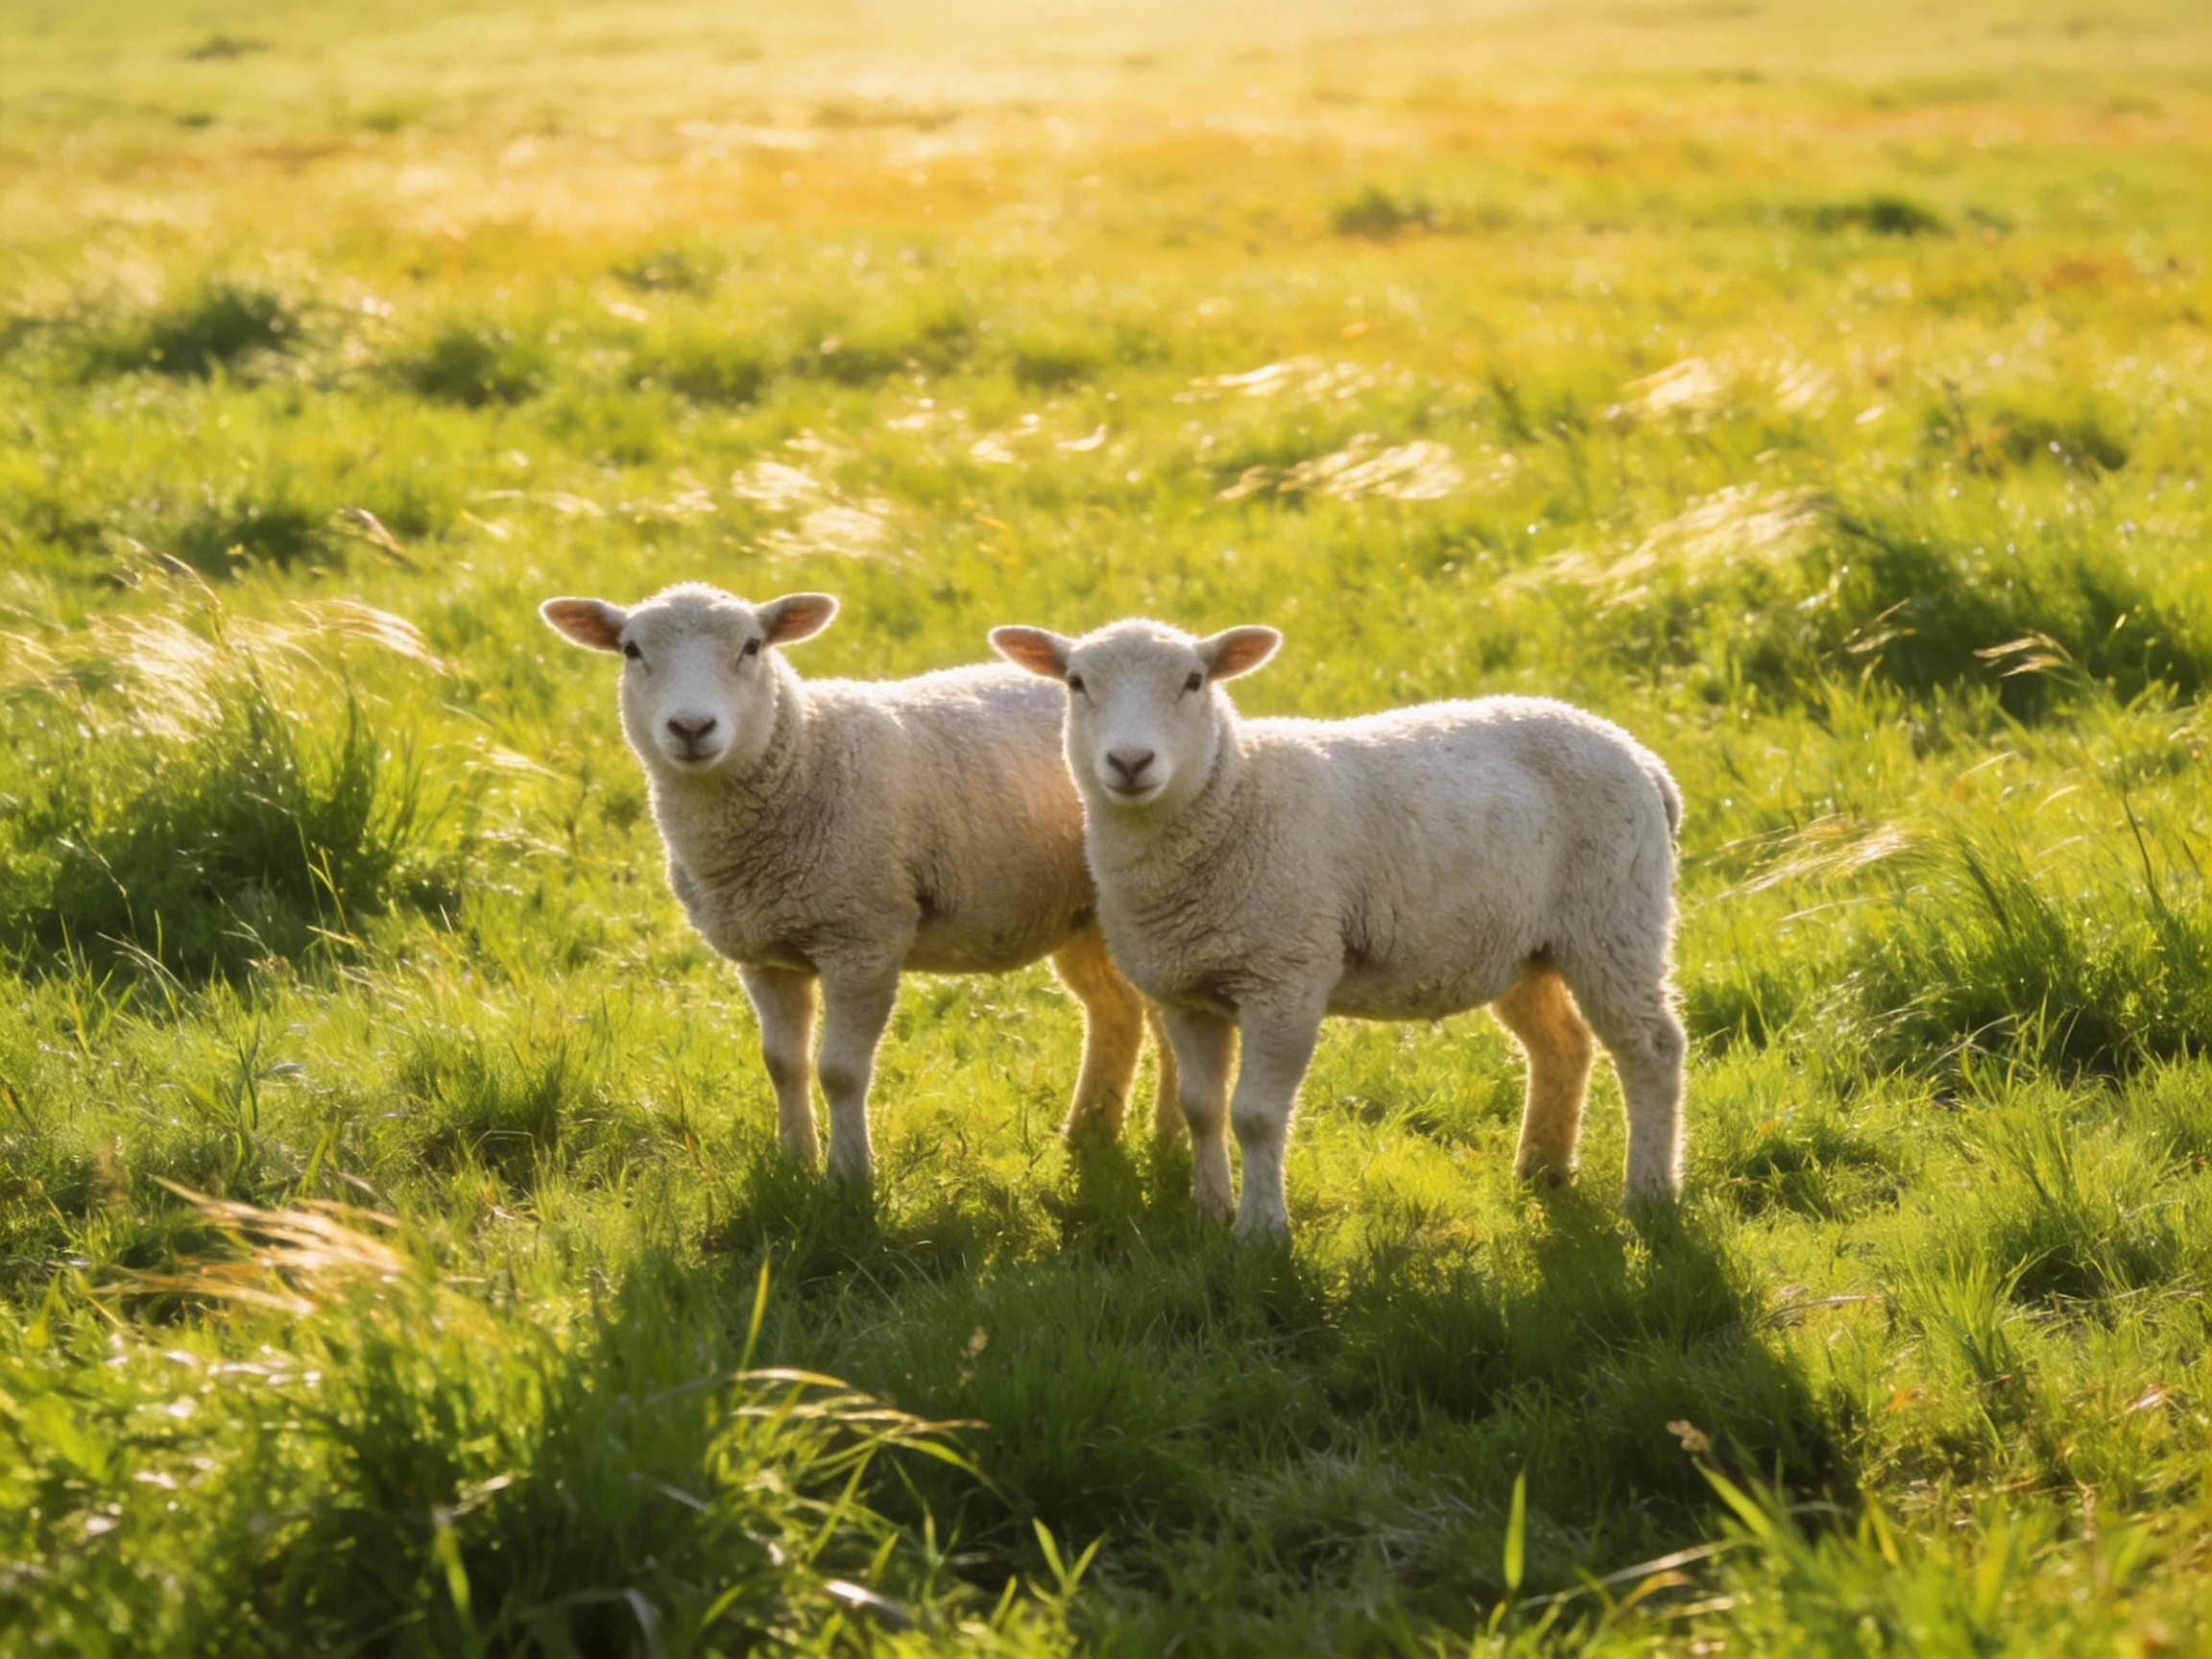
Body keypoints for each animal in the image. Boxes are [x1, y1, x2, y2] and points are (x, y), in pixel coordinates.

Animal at [541, 583, 1178, 1187]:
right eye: (631, 650)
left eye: (752, 646)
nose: (692, 727)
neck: (805, 756)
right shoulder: (763, 953)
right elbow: (783, 1063)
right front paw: (794, 1163)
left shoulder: (863, 938)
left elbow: (840, 1071)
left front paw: (849, 1180)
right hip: (1081, 914)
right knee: (1115, 1008)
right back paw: (1089, 1133)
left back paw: (1166, 1138)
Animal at [990, 617, 1685, 1240]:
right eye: (1076, 683)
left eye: (1193, 681)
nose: (1131, 761)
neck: (1235, 797)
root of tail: (1642, 757)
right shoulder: (1186, 992)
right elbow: (1201, 1109)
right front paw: (1208, 1213)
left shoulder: (1287, 978)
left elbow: (1256, 1115)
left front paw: (1260, 1233)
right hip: (1524, 944)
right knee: (1562, 1043)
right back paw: (1543, 1170)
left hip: (1615, 916)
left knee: (1652, 1048)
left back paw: (1649, 1194)